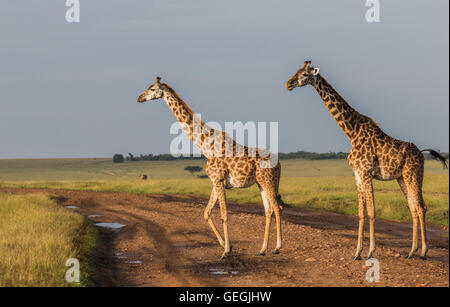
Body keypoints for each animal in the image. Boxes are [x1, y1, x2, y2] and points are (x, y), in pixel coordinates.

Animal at [137, 77, 284, 260]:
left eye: (152, 89)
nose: (139, 98)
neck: (205, 146)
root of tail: (279, 163)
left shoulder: (218, 179)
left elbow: (224, 214)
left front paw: (226, 250)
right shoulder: (216, 182)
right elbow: (206, 212)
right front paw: (227, 245)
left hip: (268, 181)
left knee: (277, 208)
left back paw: (277, 247)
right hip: (261, 183)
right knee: (268, 210)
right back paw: (262, 249)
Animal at [286, 61, 448, 262]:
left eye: (305, 74)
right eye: (297, 71)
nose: (288, 84)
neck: (351, 132)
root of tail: (421, 153)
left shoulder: (366, 172)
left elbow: (371, 212)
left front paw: (370, 251)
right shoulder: (357, 174)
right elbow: (361, 213)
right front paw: (357, 252)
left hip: (414, 175)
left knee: (421, 207)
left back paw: (424, 251)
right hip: (402, 178)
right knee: (413, 208)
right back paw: (412, 251)